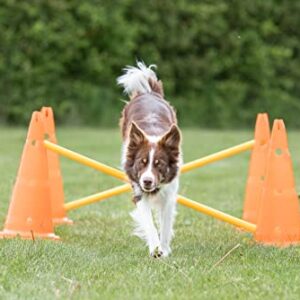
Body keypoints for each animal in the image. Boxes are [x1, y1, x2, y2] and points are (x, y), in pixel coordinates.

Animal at [118, 61, 182, 258]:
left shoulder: (170, 194)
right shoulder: (138, 192)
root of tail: (148, 92)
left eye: (159, 164)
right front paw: (155, 249)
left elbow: (165, 224)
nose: (147, 181)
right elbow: (149, 223)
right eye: (142, 162)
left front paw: (164, 249)